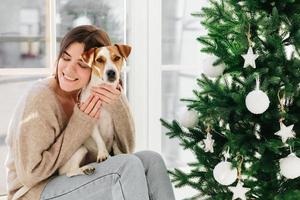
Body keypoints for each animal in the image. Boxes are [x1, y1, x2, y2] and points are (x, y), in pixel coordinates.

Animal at [58, 43, 131, 177]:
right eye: (99, 60)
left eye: (117, 58)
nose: (111, 72)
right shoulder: (91, 121)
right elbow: (99, 139)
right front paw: (103, 154)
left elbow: (115, 144)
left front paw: (119, 153)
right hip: (81, 149)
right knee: (70, 172)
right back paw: (85, 169)